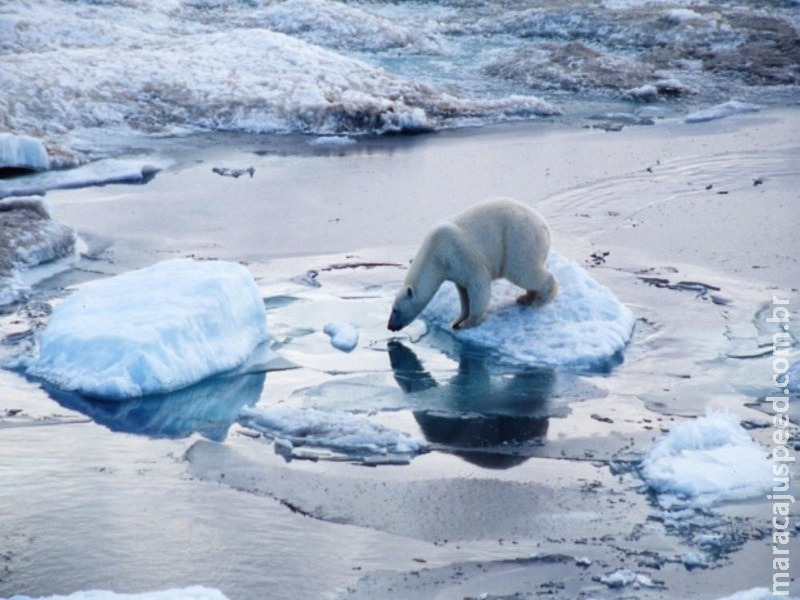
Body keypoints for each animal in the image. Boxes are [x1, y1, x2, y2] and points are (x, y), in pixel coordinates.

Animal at [388, 197, 556, 330]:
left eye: (395, 309)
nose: (389, 326)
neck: (435, 254)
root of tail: (545, 226)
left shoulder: (461, 254)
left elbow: (478, 285)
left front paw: (468, 323)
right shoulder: (454, 270)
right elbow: (463, 294)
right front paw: (457, 320)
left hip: (519, 239)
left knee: (523, 271)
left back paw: (541, 300)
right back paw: (525, 297)